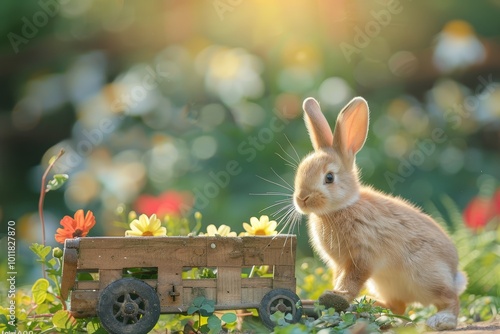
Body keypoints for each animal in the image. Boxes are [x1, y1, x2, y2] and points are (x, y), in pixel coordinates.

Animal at [294, 97, 466, 332]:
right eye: (300, 172)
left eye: (329, 177)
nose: (301, 198)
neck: (342, 207)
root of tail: (454, 274)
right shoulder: (339, 264)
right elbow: (340, 278)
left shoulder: (361, 257)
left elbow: (351, 280)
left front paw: (337, 296)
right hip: (385, 284)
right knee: (399, 306)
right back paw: (373, 308)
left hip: (426, 276)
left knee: (449, 299)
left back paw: (441, 320)